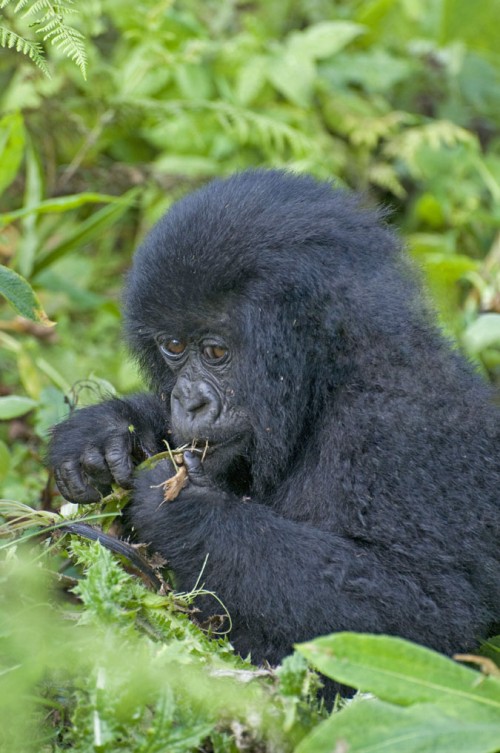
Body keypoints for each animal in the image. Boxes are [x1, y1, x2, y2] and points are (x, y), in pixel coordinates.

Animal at [47, 169, 500, 664]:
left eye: (216, 352)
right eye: (174, 347)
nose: (187, 401)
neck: (331, 376)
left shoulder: (397, 421)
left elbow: (426, 612)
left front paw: (184, 511)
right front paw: (107, 431)